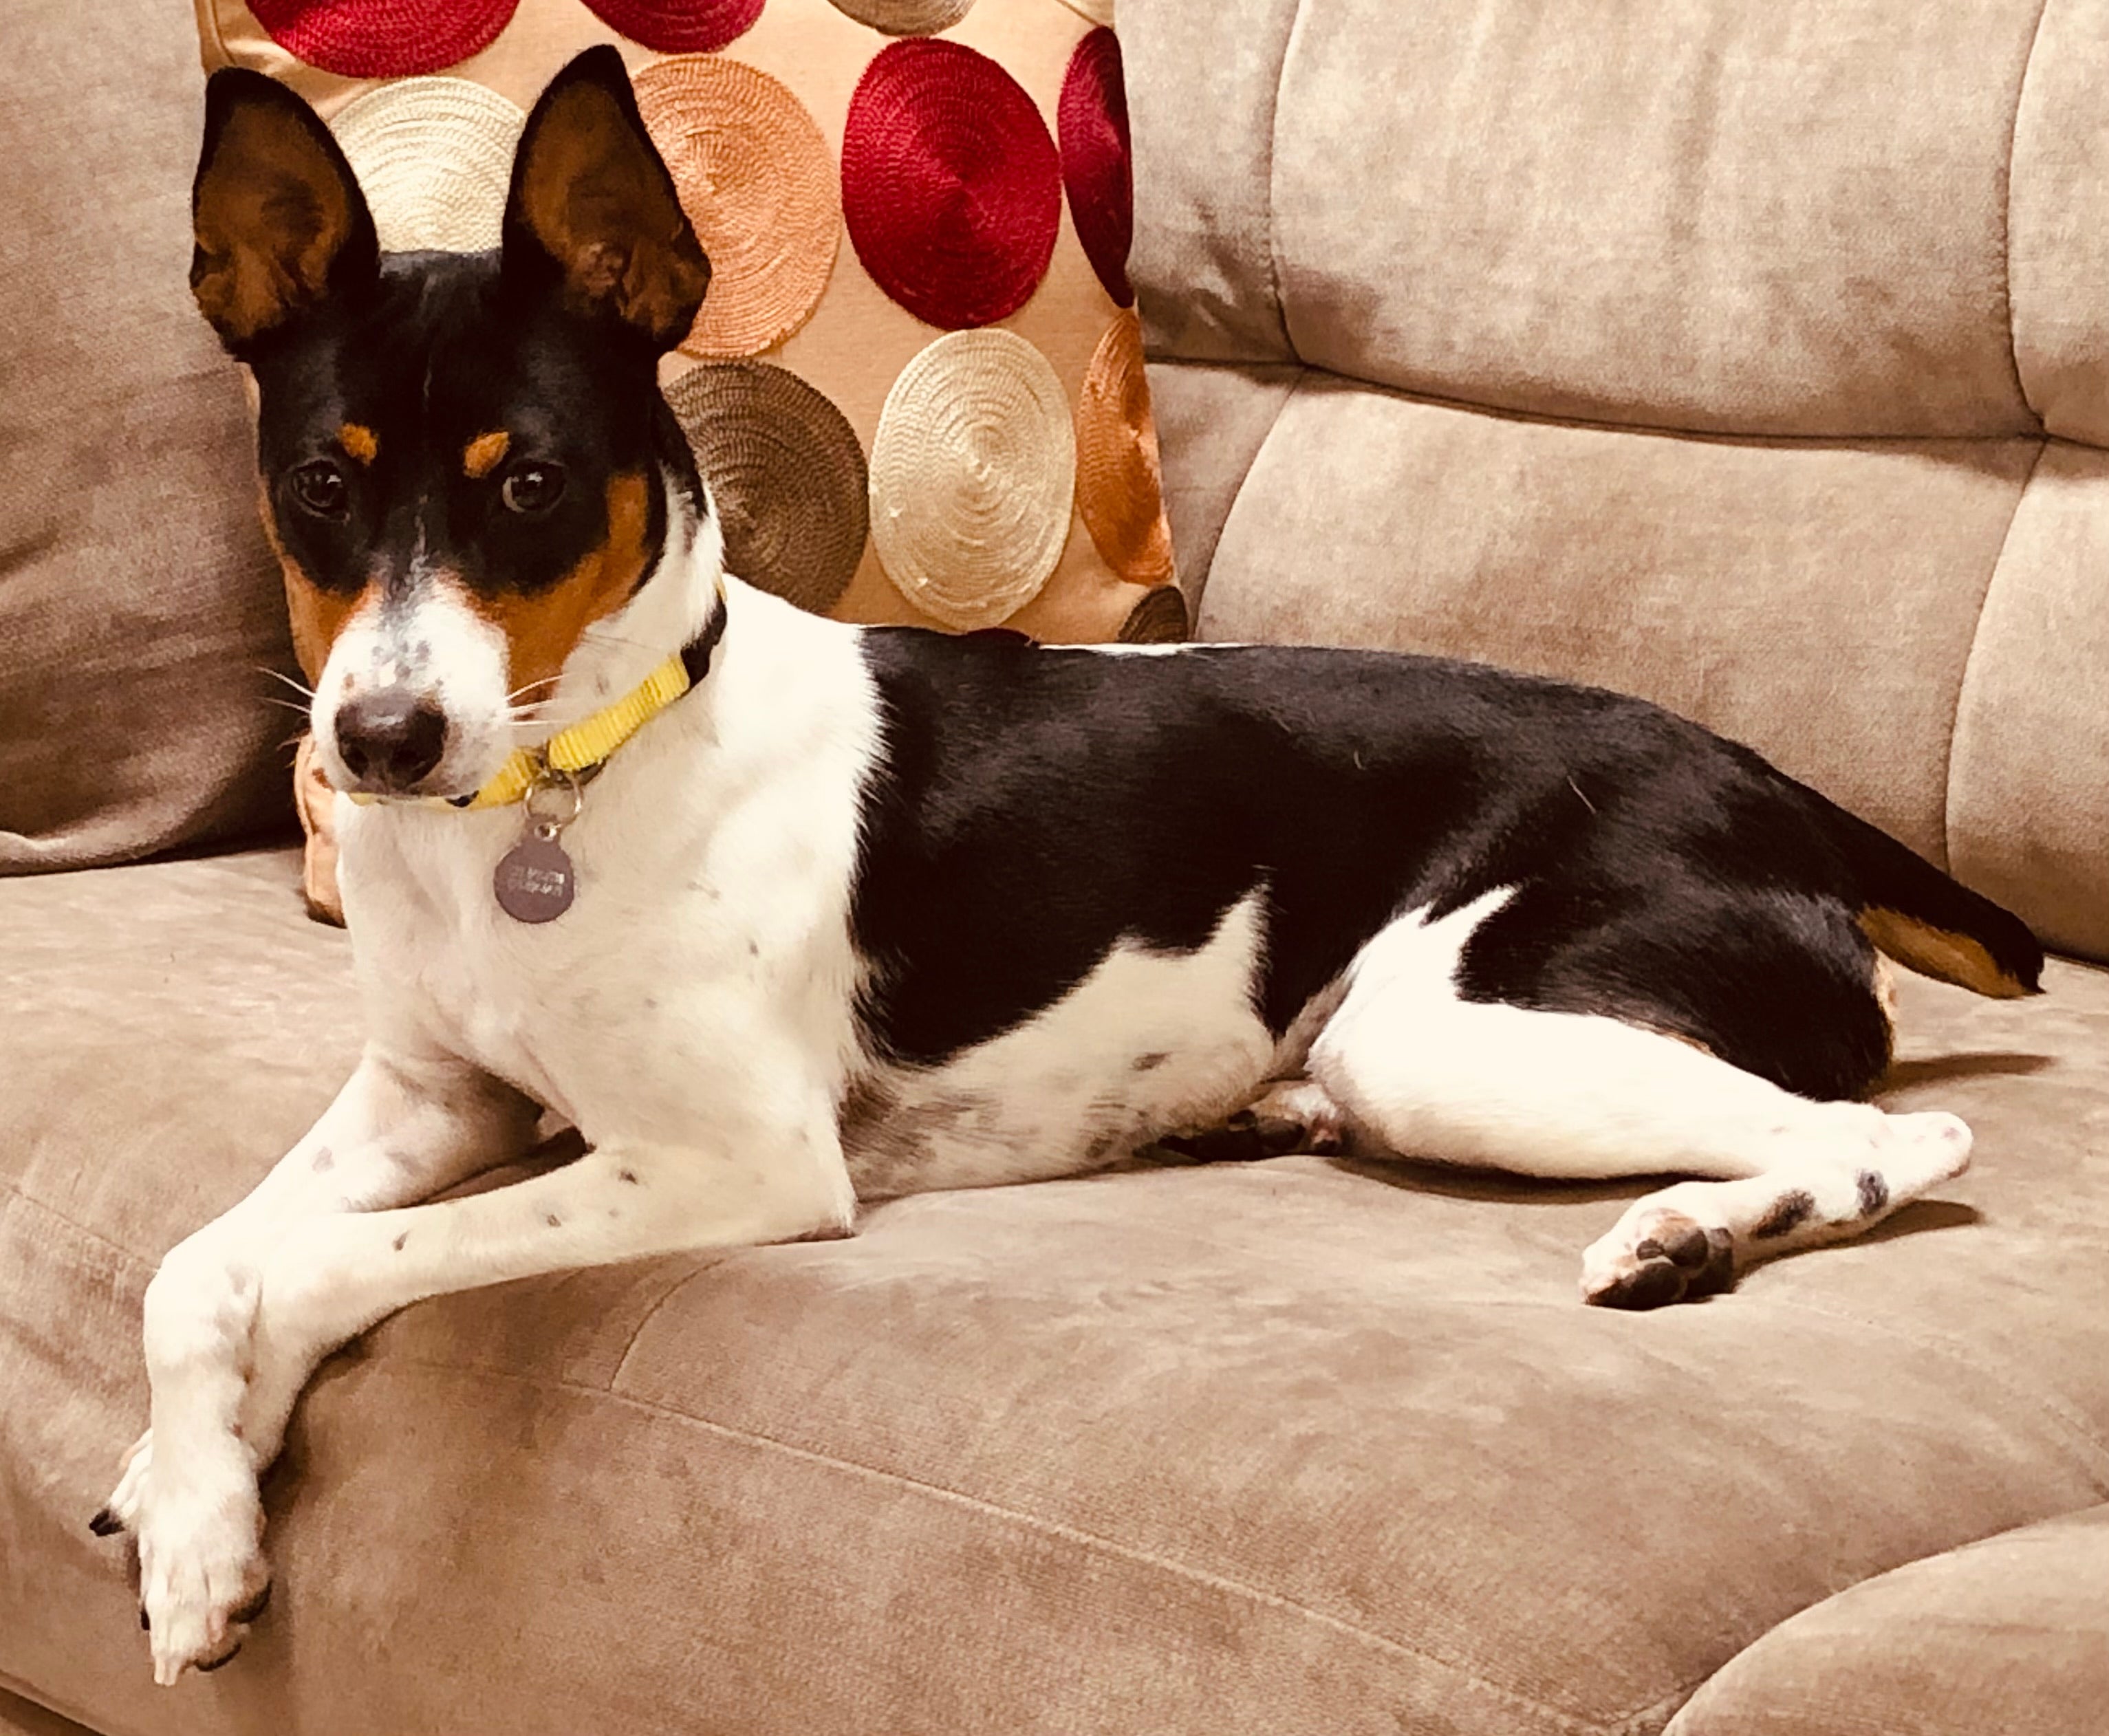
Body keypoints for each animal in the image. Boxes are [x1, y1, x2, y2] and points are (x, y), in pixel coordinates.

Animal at [102, 47, 2041, 1687]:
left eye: (533, 488)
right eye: (319, 487)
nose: (378, 741)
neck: (561, 788)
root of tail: (1772, 782)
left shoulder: (731, 1160)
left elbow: (323, 1266)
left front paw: (219, 1491)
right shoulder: (433, 1091)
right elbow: (196, 1264)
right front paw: (187, 1490)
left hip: (1452, 1026)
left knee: (1889, 1135)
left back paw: (1684, 1235)